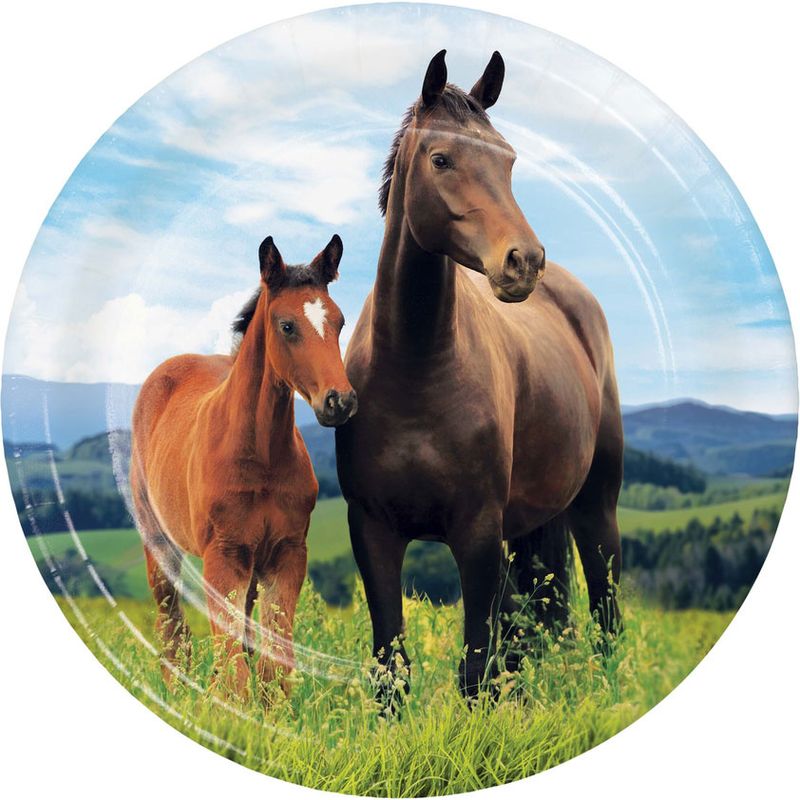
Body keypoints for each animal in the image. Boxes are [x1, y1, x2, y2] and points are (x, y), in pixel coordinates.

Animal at [131, 234, 357, 701]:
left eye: (340, 322)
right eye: (286, 325)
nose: (339, 401)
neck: (261, 457)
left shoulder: (286, 554)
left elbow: (274, 663)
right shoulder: (224, 556)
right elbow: (233, 664)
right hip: (160, 544)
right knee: (172, 629)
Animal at [335, 51, 623, 702]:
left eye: (508, 159)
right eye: (441, 159)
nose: (524, 261)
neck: (416, 371)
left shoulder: (477, 533)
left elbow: (476, 672)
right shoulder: (372, 531)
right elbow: (393, 674)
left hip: (597, 508)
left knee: (606, 618)